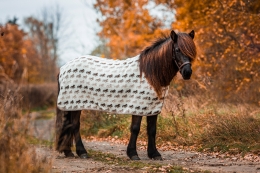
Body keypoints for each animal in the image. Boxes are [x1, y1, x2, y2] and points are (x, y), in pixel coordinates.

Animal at [55, 29, 196, 159]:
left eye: (192, 51)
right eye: (177, 49)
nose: (187, 73)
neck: (150, 72)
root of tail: (63, 68)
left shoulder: (153, 107)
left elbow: (152, 130)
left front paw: (154, 154)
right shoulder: (138, 105)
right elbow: (135, 128)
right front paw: (133, 154)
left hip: (70, 105)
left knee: (68, 125)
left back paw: (68, 152)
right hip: (76, 104)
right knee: (75, 125)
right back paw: (82, 152)